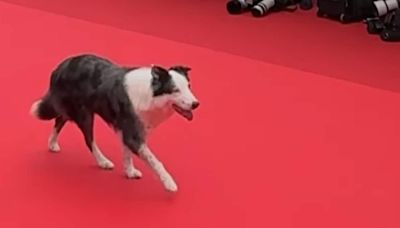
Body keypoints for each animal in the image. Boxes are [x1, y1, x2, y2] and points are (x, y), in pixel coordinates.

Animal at [29, 54, 200, 191]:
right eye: (175, 90)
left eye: (189, 86)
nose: (196, 104)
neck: (150, 94)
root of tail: (60, 68)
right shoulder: (132, 133)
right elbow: (155, 161)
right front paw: (169, 183)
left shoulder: (132, 130)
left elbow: (127, 154)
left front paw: (129, 172)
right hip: (84, 114)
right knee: (88, 139)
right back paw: (103, 161)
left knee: (60, 119)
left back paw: (52, 143)